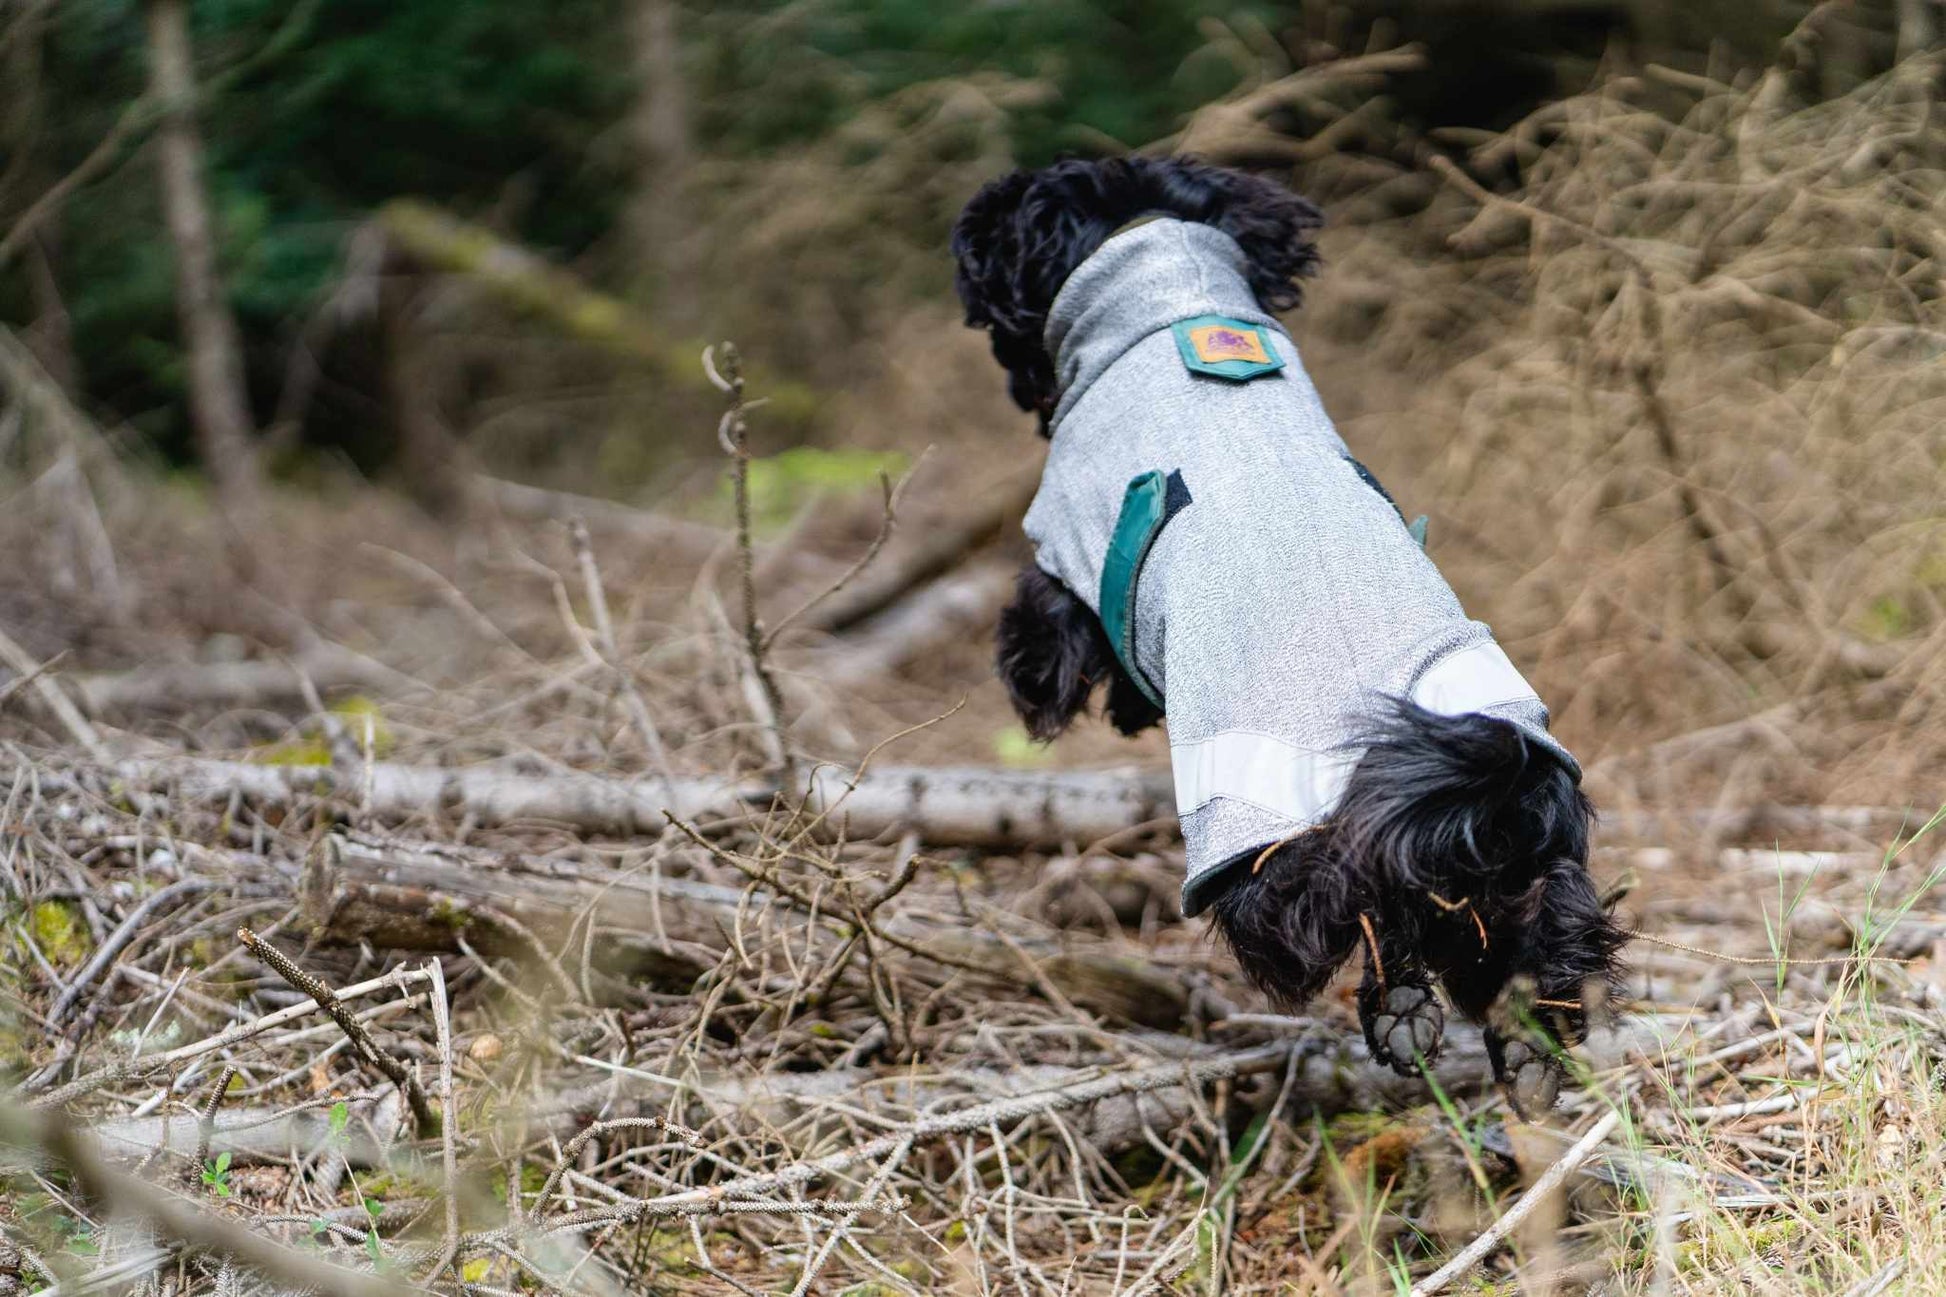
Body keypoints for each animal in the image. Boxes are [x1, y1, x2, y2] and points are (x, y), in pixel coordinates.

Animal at [953, 156, 1626, 1106]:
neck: (1166, 293)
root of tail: (1464, 774)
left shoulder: (1068, 544)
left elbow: (1053, 632)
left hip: (1258, 857)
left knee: (1343, 920)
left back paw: (1406, 1010)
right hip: (1531, 863)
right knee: (1524, 934)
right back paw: (1510, 1042)